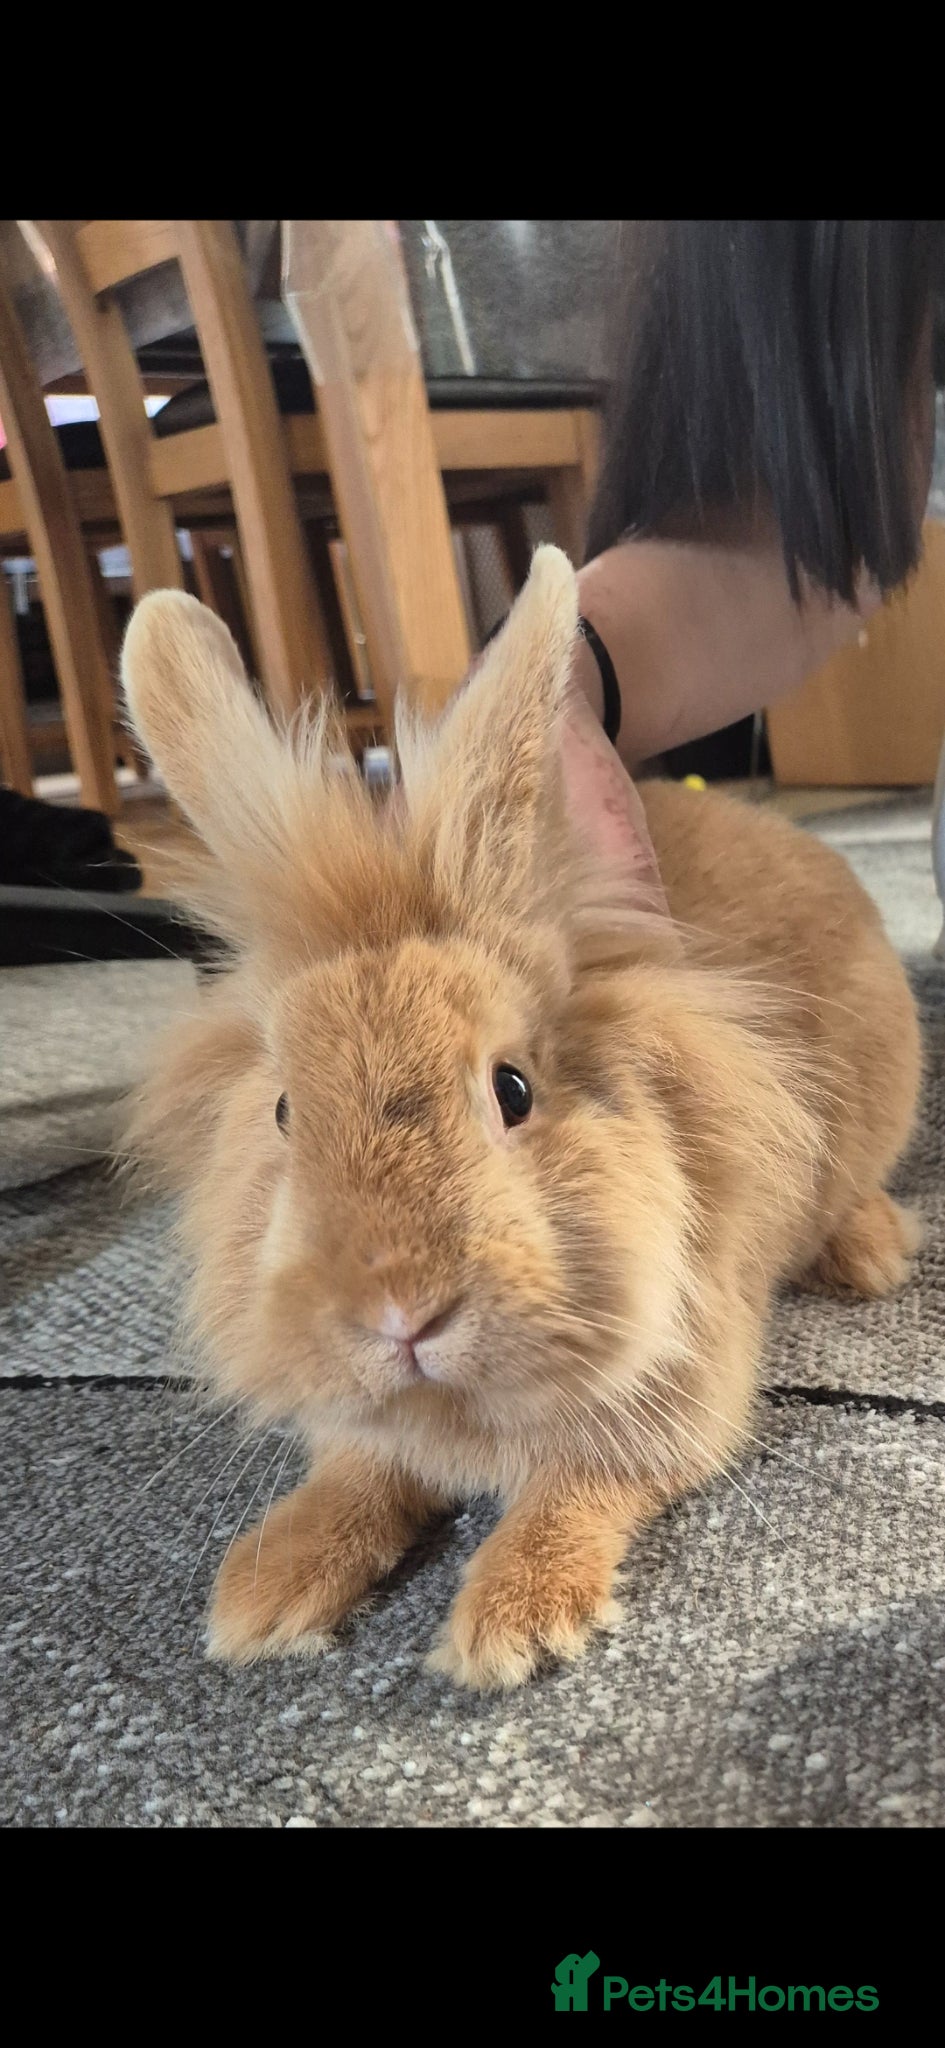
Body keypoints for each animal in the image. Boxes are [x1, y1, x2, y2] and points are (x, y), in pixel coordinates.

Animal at [121, 545, 921, 1691]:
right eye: (281, 1109)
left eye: (512, 1089)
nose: (401, 1312)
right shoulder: (370, 1431)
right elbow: (357, 1477)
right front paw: (264, 1595)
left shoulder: (676, 1385)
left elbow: (577, 1486)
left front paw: (515, 1620)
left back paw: (869, 1254)